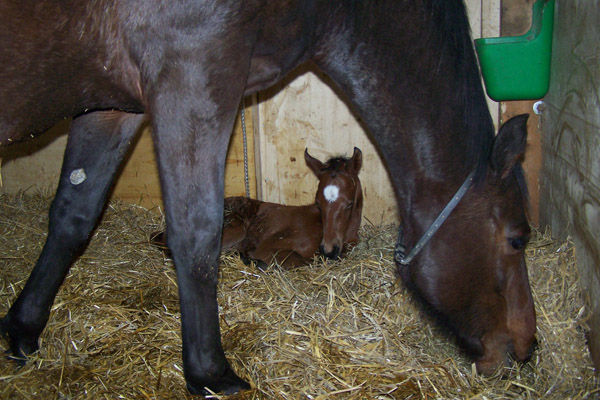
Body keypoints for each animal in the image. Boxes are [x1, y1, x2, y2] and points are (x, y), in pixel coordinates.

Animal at [0, 0, 536, 394]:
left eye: (348, 204)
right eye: (518, 238)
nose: (527, 347)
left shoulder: (113, 102)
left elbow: (74, 213)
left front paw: (23, 329)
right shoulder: (193, 76)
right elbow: (196, 235)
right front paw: (210, 373)